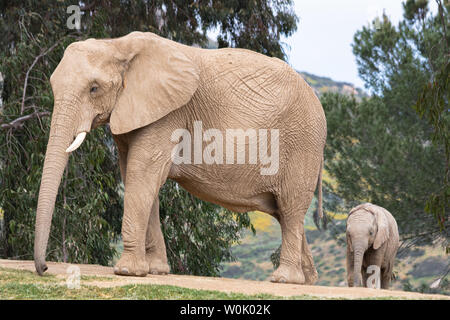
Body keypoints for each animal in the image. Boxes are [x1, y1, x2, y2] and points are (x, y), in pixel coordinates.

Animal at [33, 31, 326, 284]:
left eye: (94, 88)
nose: (45, 268)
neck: (118, 45)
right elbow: (136, 177)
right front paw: (155, 271)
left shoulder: (168, 114)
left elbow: (143, 174)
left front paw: (127, 271)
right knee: (284, 212)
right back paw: (307, 281)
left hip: (302, 142)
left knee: (290, 207)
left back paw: (284, 279)